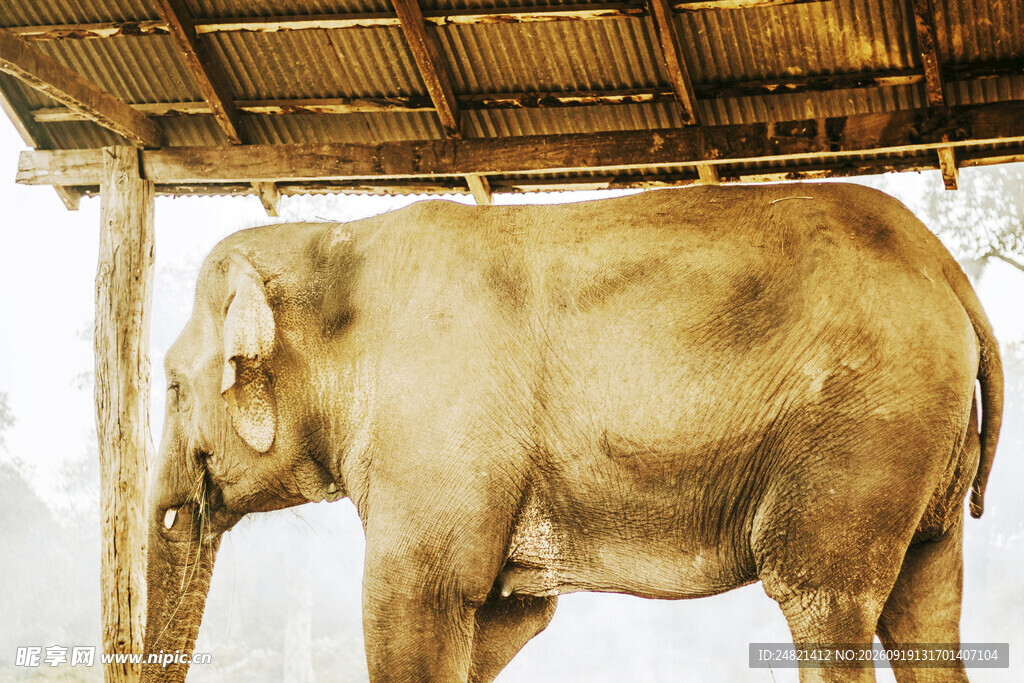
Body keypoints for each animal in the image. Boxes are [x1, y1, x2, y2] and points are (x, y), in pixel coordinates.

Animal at [142, 183, 1002, 682]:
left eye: (174, 385)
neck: (338, 237)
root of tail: (949, 271)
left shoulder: (437, 427)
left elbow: (414, 602)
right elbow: (502, 618)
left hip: (863, 431)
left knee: (823, 598)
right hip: (922, 450)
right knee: (923, 608)